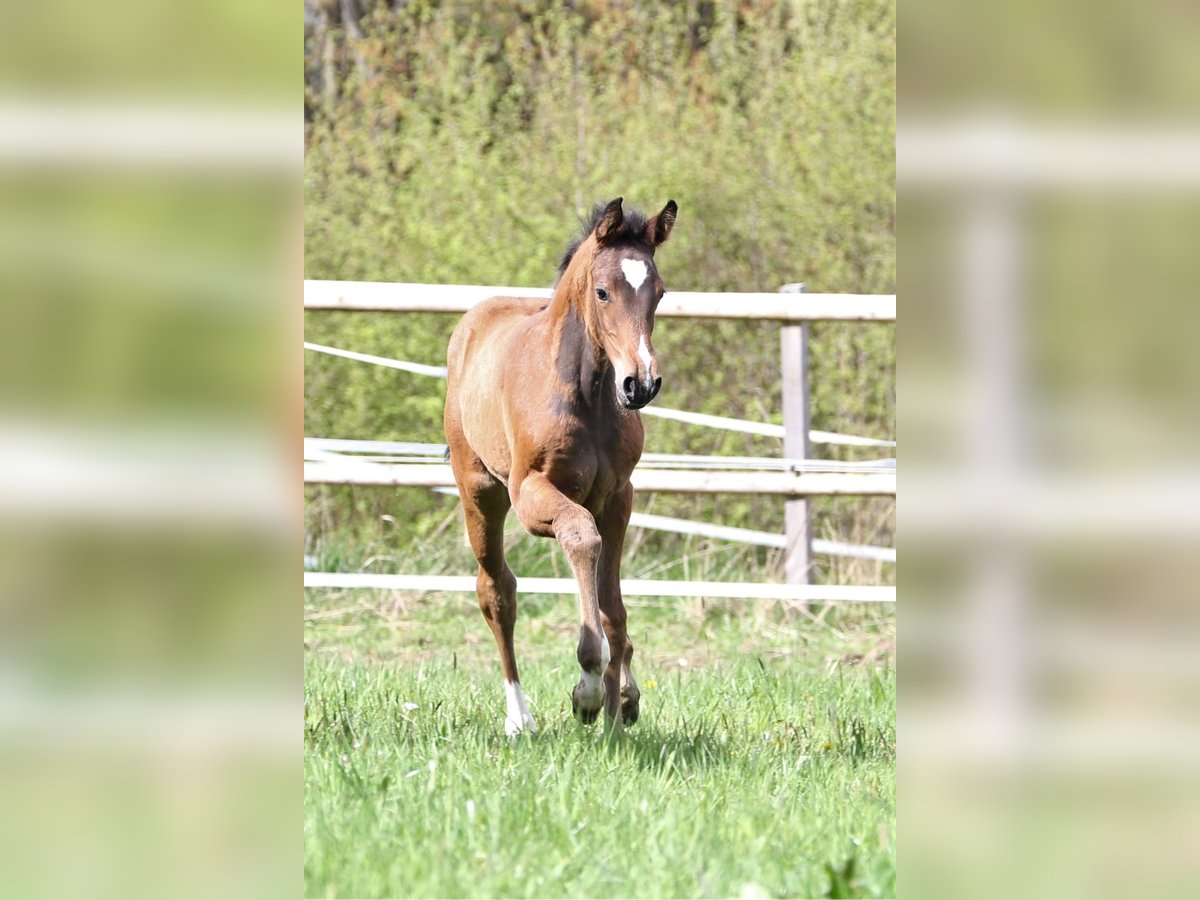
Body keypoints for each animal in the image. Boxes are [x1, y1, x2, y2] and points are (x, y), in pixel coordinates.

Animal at [446, 195, 681, 734]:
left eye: (659, 293)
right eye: (603, 292)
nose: (641, 384)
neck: (586, 394)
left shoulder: (617, 497)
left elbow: (613, 606)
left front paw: (622, 701)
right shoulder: (533, 496)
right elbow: (579, 537)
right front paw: (589, 692)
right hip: (480, 492)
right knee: (497, 590)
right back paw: (519, 718)